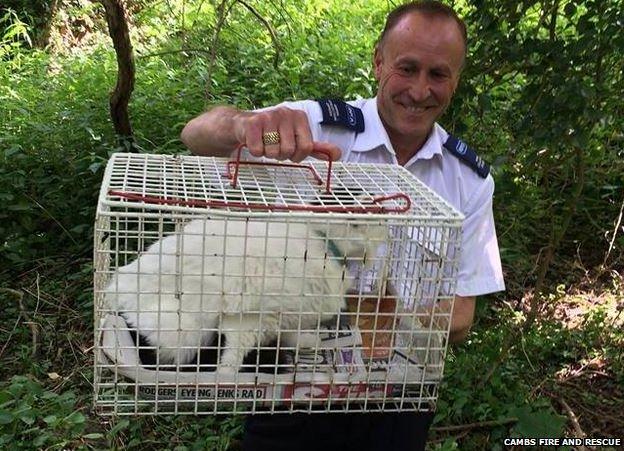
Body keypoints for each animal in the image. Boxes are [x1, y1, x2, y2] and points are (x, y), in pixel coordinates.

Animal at [105, 217, 388, 372]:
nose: (386, 224)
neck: (327, 246)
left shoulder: (282, 322)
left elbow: (292, 338)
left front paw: (314, 342)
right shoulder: (251, 320)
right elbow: (233, 355)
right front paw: (224, 379)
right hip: (185, 331)